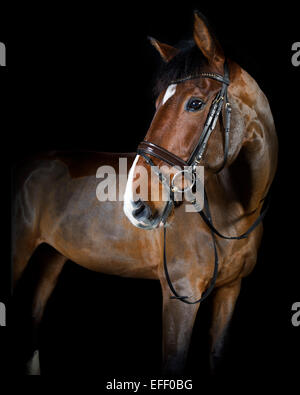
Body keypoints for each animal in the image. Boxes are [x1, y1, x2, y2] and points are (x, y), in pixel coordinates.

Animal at [11, 10, 278, 376]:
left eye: (195, 103)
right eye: (157, 103)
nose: (135, 205)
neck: (235, 212)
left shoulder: (229, 292)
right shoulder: (180, 297)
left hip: (49, 258)